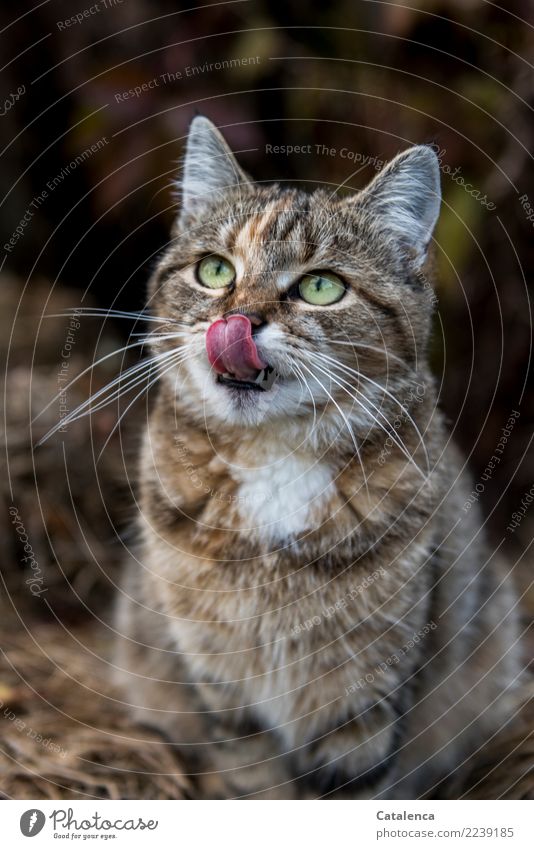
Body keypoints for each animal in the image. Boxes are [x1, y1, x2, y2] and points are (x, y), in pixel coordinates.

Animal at [115, 116, 520, 800]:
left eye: (321, 286)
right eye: (215, 271)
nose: (238, 319)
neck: (273, 457)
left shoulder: (364, 695)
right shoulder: (223, 686)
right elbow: (252, 782)